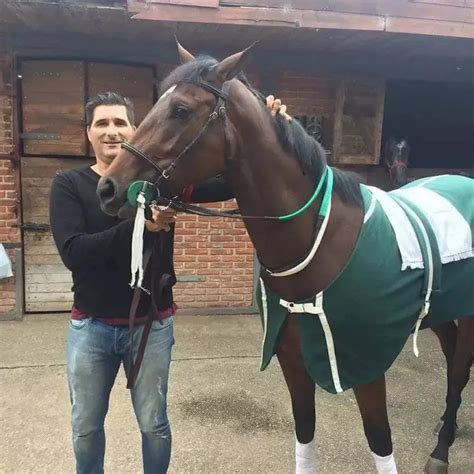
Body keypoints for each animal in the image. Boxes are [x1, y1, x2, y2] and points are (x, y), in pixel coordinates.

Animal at [97, 42, 474, 472]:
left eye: (180, 110)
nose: (108, 188)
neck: (318, 239)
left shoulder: (364, 366)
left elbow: (380, 440)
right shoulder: (291, 360)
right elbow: (305, 429)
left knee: (459, 372)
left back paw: (441, 449)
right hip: (440, 313)